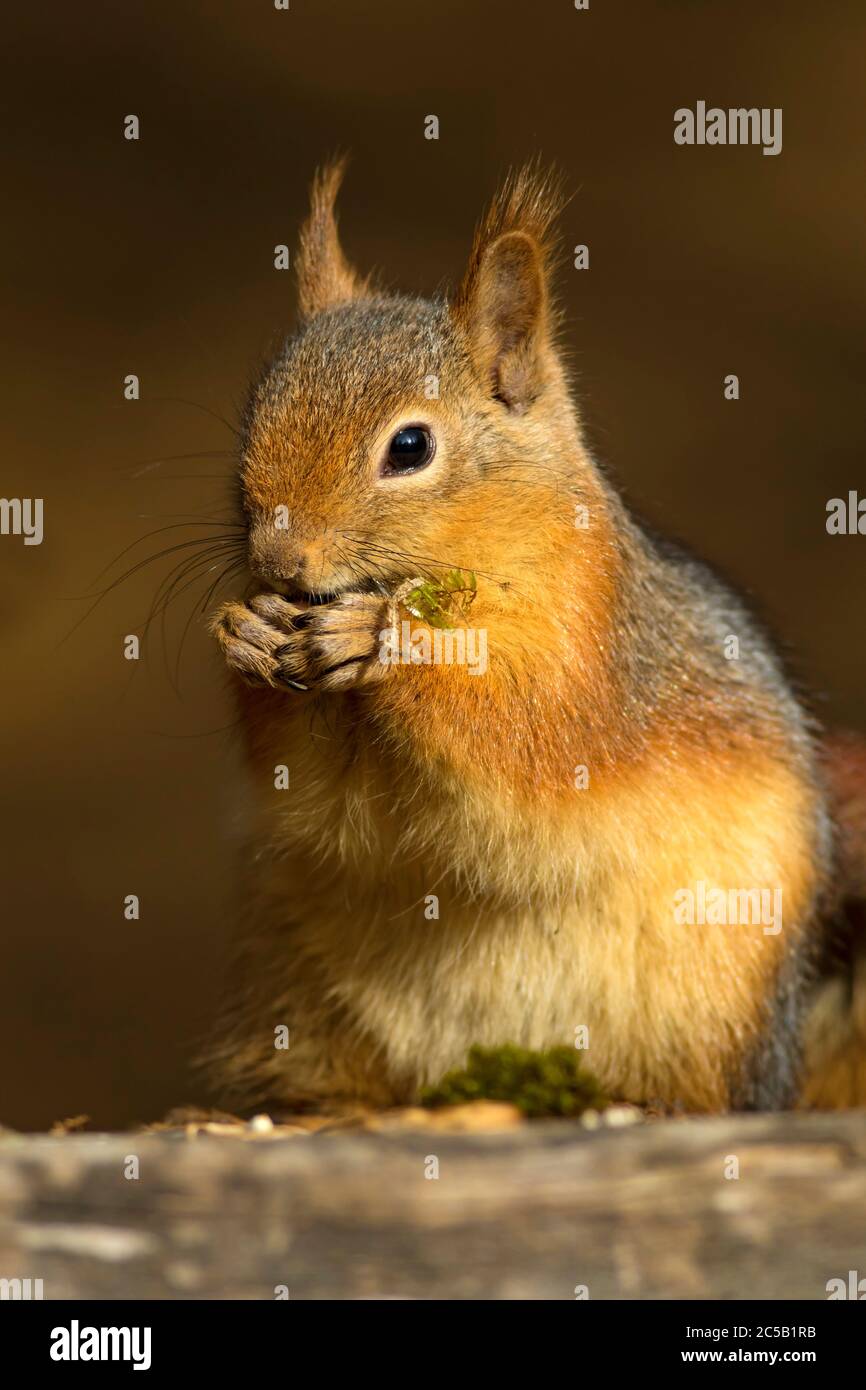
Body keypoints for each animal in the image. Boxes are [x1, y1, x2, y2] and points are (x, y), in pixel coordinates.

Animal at [205, 159, 866, 1115]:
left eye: (410, 447)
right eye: (257, 414)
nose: (280, 561)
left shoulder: (590, 645)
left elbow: (528, 733)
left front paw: (384, 642)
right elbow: (318, 794)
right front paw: (248, 631)